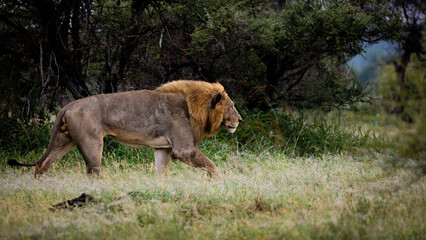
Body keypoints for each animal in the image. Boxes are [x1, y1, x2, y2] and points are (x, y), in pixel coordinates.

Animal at [7, 79, 240, 177]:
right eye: (232, 106)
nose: (239, 120)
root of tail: (67, 106)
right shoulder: (184, 150)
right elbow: (213, 167)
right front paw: (218, 183)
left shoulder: (163, 149)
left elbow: (161, 174)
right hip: (92, 143)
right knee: (92, 173)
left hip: (63, 140)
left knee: (41, 166)